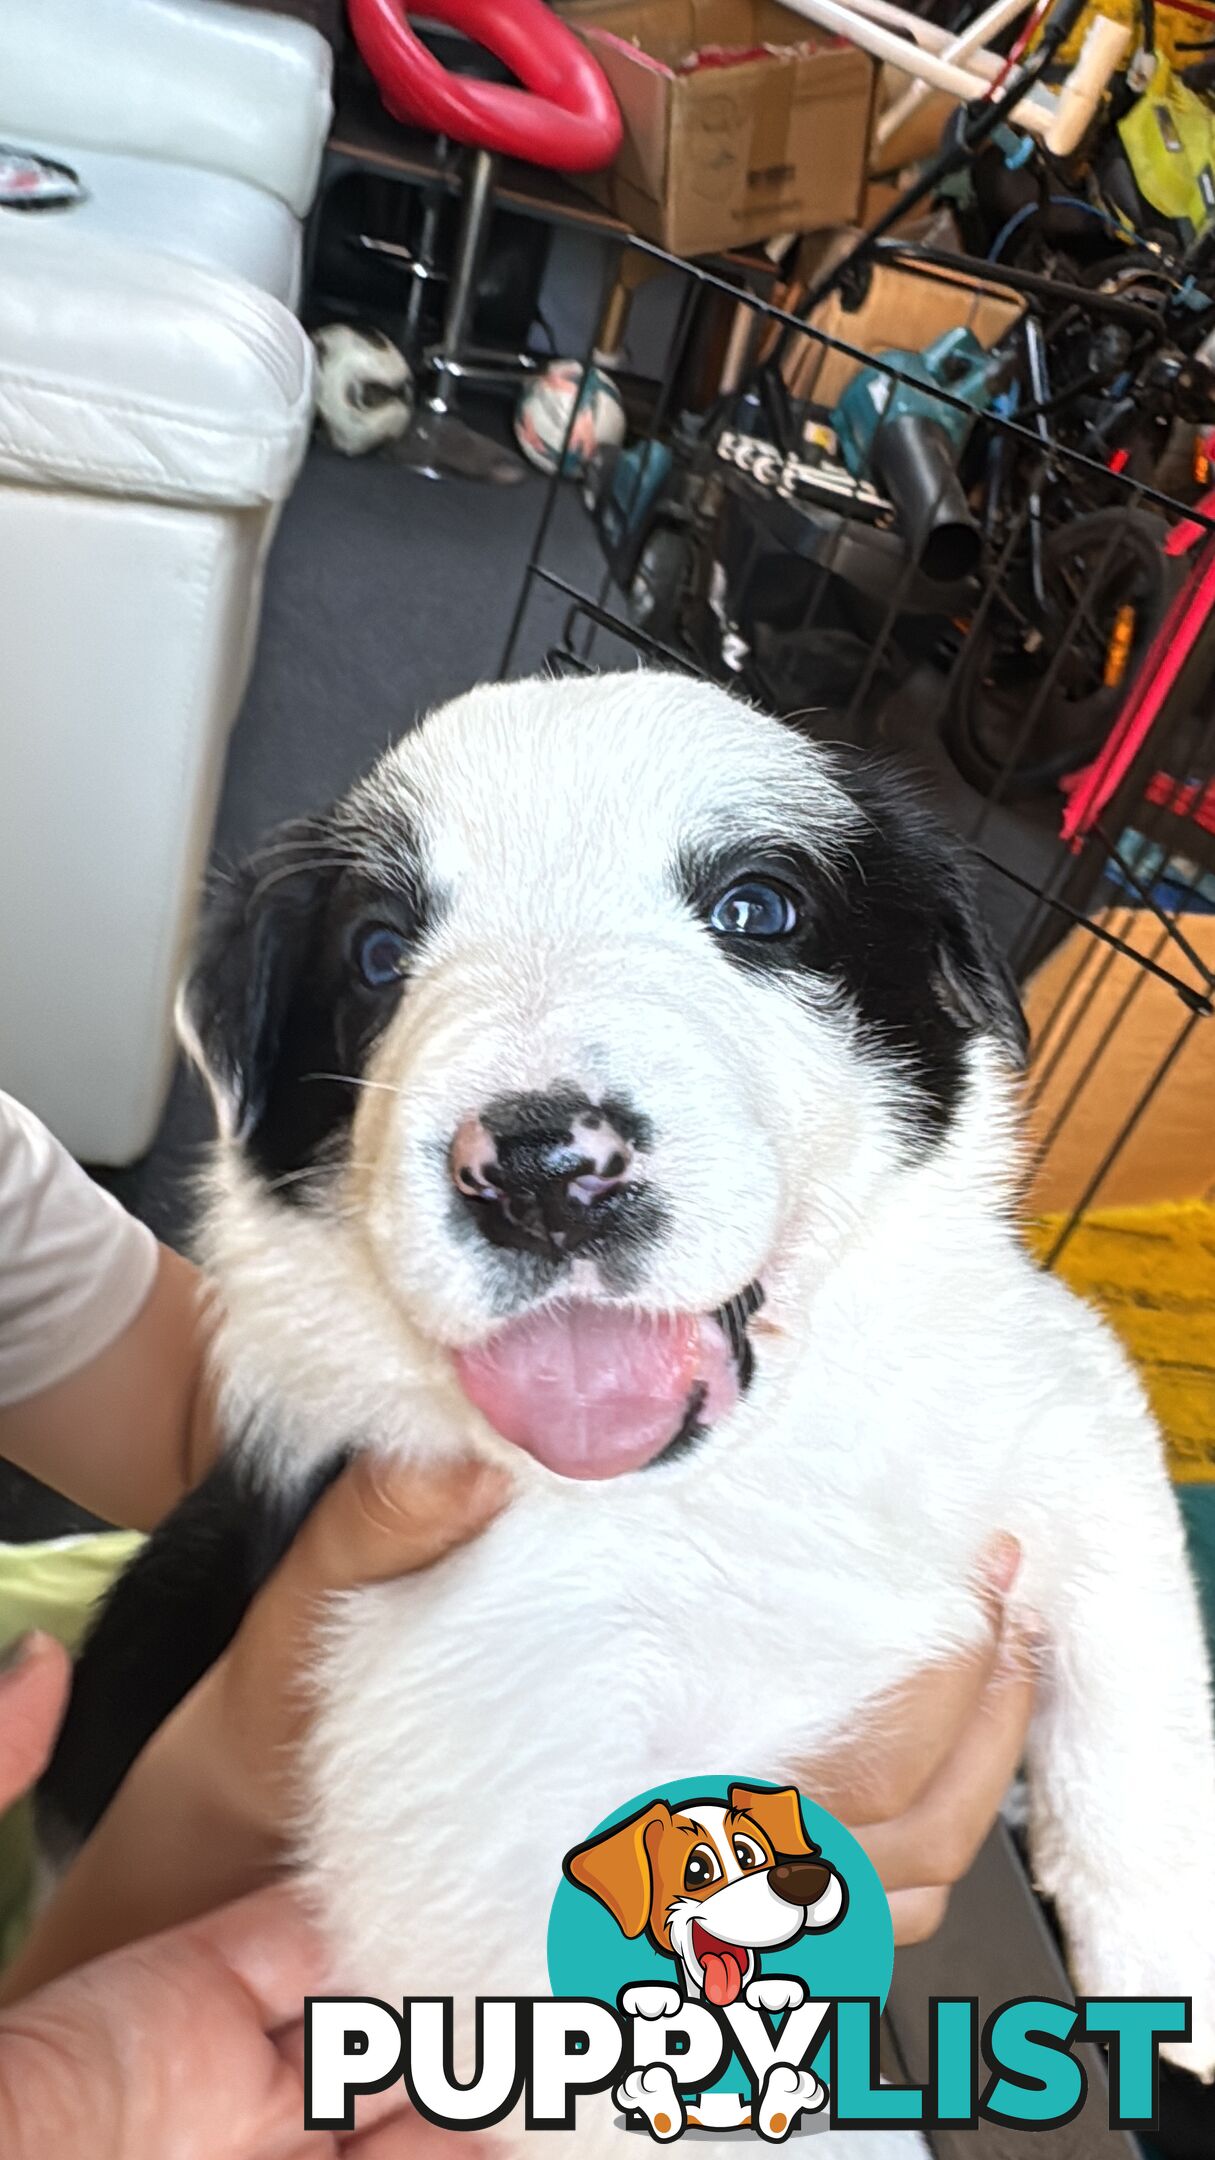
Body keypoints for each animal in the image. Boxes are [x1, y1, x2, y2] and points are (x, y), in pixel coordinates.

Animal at [42, 665, 1210, 2151]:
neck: (731, 1474)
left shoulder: (1038, 1375)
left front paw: (1170, 1946)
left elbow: (1136, 1640)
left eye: (758, 910)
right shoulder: (466, 1781)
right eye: (377, 954)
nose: (541, 1169)